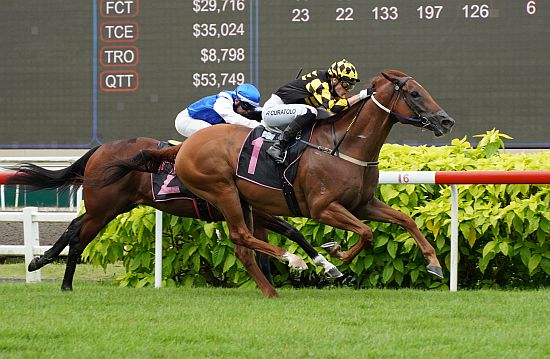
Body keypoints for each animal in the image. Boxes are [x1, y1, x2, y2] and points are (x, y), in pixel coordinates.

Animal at [6, 137, 340, 292]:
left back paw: (41, 262)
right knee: (78, 238)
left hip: (111, 207)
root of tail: (100, 149)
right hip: (104, 208)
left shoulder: (255, 213)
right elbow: (283, 235)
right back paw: (61, 280)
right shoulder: (252, 211)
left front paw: (326, 266)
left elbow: (290, 233)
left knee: (75, 227)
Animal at [96, 71, 458, 298]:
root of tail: (183, 147)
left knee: (244, 246)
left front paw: (434, 265)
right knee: (240, 237)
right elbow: (366, 233)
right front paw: (336, 253)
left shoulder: (363, 204)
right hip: (223, 192)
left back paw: (273, 288)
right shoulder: (324, 209)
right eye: (414, 93)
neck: (342, 146)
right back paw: (292, 260)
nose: (446, 120)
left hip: (242, 201)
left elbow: (406, 220)